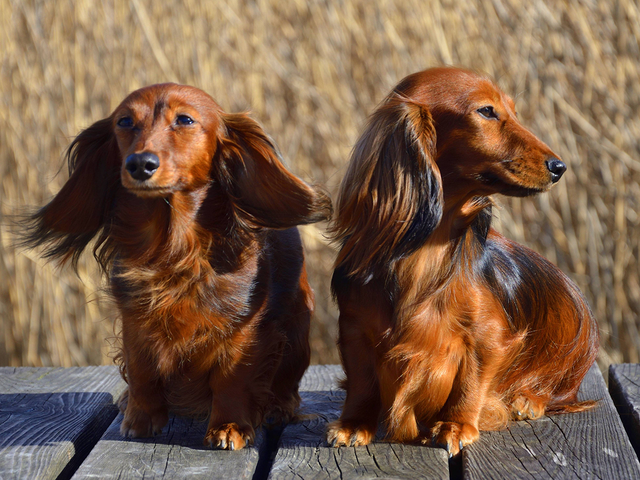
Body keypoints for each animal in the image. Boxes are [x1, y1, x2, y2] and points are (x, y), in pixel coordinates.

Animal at [20, 83, 330, 450]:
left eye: (185, 119)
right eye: (124, 121)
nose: (140, 164)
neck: (173, 249)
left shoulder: (243, 328)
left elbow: (233, 377)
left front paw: (229, 426)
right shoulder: (135, 320)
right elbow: (141, 370)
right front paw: (141, 418)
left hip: (298, 326)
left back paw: (277, 407)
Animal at [328, 66, 596, 454]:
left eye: (513, 111)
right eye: (486, 111)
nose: (559, 167)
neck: (426, 250)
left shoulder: (487, 336)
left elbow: (471, 379)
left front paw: (456, 424)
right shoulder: (354, 327)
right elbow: (362, 380)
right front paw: (354, 423)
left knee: (558, 391)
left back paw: (528, 400)